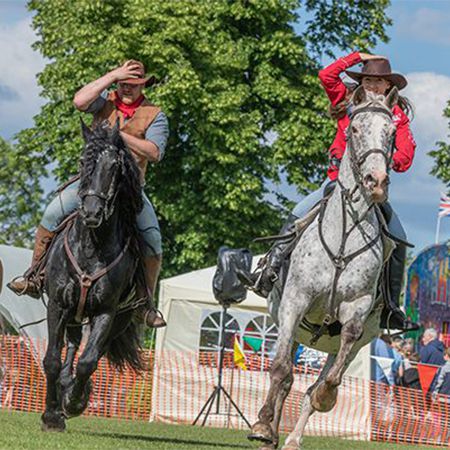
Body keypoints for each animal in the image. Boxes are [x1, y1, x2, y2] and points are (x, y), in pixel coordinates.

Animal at [42, 121, 146, 430]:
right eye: (82, 161)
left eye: (115, 166)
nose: (91, 212)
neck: (91, 247)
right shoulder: (57, 304)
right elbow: (52, 359)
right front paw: (51, 414)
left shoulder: (106, 312)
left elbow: (89, 361)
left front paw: (74, 401)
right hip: (72, 313)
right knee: (72, 344)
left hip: (118, 320)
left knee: (90, 352)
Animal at [251, 86, 400, 448]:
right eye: (355, 129)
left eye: (391, 133)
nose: (376, 181)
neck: (344, 236)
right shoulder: (294, 303)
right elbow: (280, 370)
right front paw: (262, 425)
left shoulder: (356, 309)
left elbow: (327, 381)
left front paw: (325, 397)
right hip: (292, 329)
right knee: (286, 377)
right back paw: (270, 433)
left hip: (343, 347)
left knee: (318, 380)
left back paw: (292, 438)